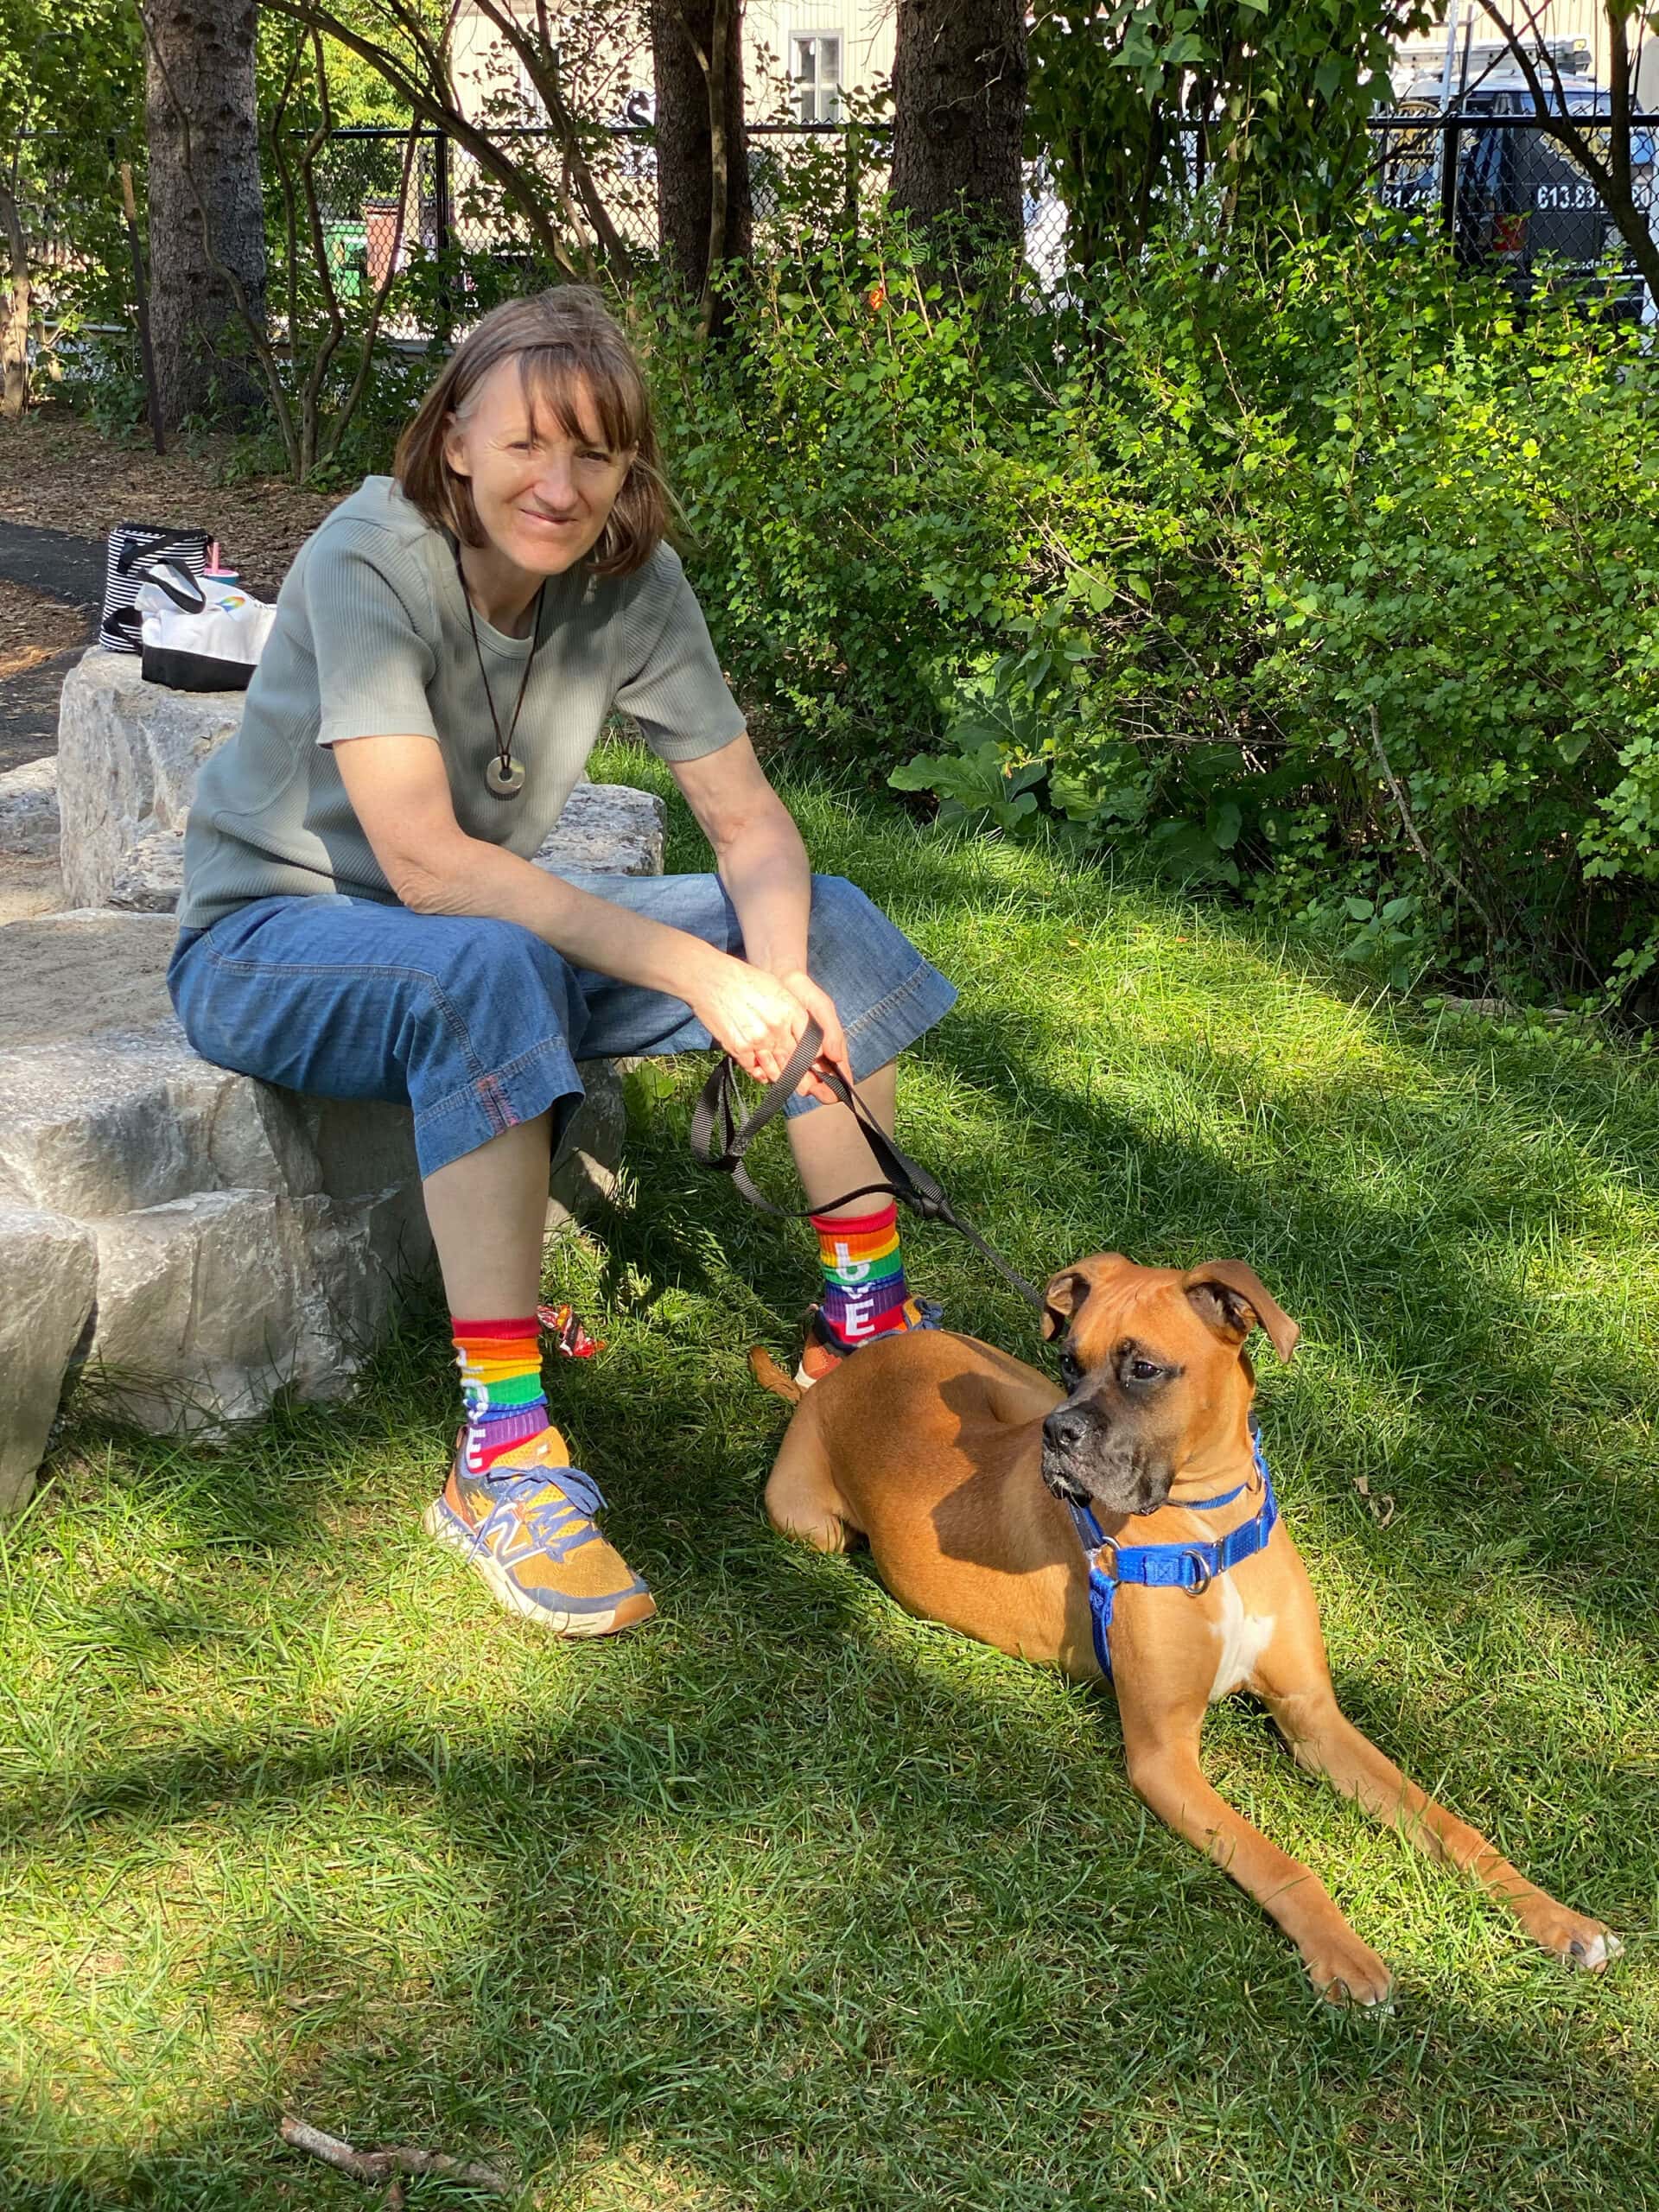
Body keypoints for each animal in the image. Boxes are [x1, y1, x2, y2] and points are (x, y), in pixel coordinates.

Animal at [756, 1247, 1628, 2008]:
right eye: (1073, 1360)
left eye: (1142, 1369)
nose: (1059, 1435)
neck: (1211, 1525)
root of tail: (839, 1380)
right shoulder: (1165, 1759)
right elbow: (1279, 1860)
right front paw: (1343, 1952)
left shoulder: (1315, 1719)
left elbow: (1446, 1824)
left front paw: (1558, 1919)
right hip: (818, 1520)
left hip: (1007, 1383)